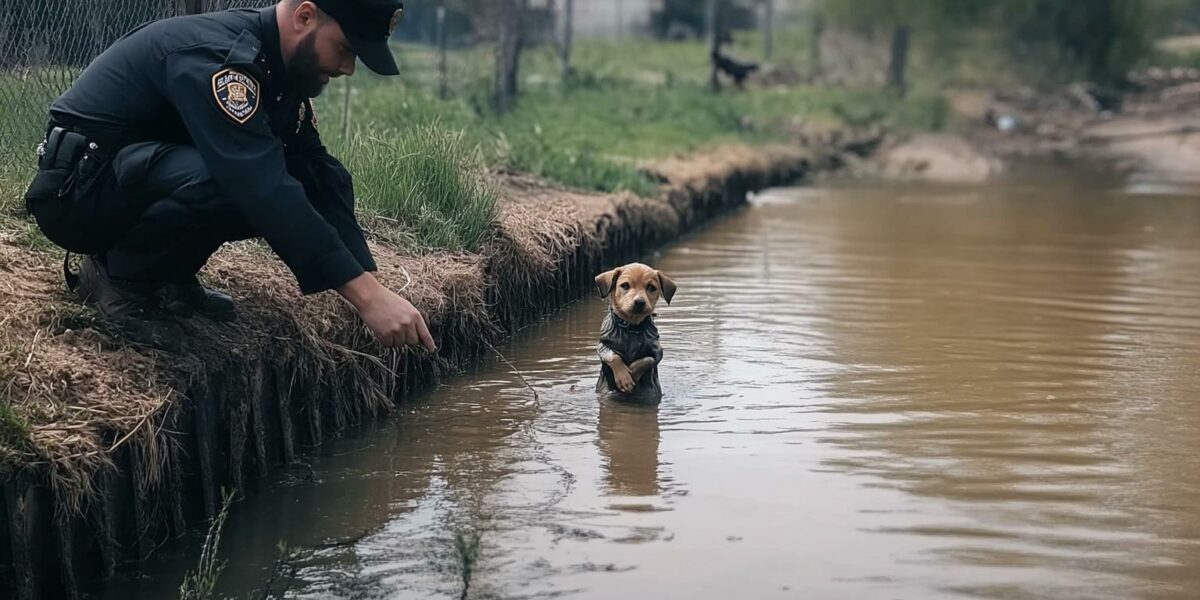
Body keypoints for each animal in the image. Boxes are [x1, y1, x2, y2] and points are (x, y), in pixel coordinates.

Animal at [592, 262, 676, 398]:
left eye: (651, 287)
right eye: (625, 285)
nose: (639, 302)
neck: (632, 328)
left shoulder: (658, 351)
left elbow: (648, 360)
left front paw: (632, 373)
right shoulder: (602, 346)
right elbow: (613, 356)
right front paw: (624, 378)